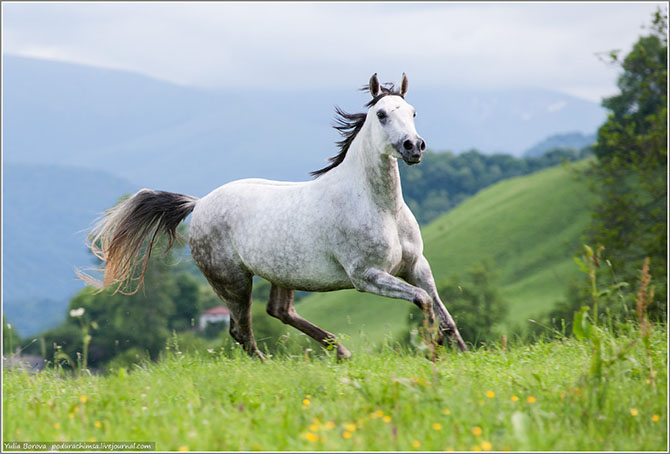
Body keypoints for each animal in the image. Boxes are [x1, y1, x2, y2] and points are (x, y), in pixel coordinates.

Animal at [84, 73, 470, 358]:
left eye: (413, 112)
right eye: (382, 114)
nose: (413, 147)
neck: (380, 208)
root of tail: (200, 202)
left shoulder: (416, 266)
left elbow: (443, 311)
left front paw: (462, 354)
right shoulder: (367, 276)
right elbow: (423, 301)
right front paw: (432, 348)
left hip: (283, 273)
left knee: (279, 311)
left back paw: (341, 351)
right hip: (234, 283)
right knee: (241, 330)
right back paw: (268, 364)